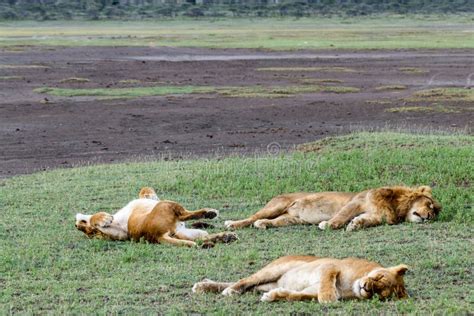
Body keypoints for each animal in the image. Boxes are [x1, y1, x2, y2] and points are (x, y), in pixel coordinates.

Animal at [76, 186, 239, 248]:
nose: (78, 224)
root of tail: (157, 235)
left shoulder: (121, 232)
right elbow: (144, 190)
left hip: (184, 232)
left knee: (202, 237)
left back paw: (225, 236)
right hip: (168, 205)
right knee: (186, 215)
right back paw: (209, 213)